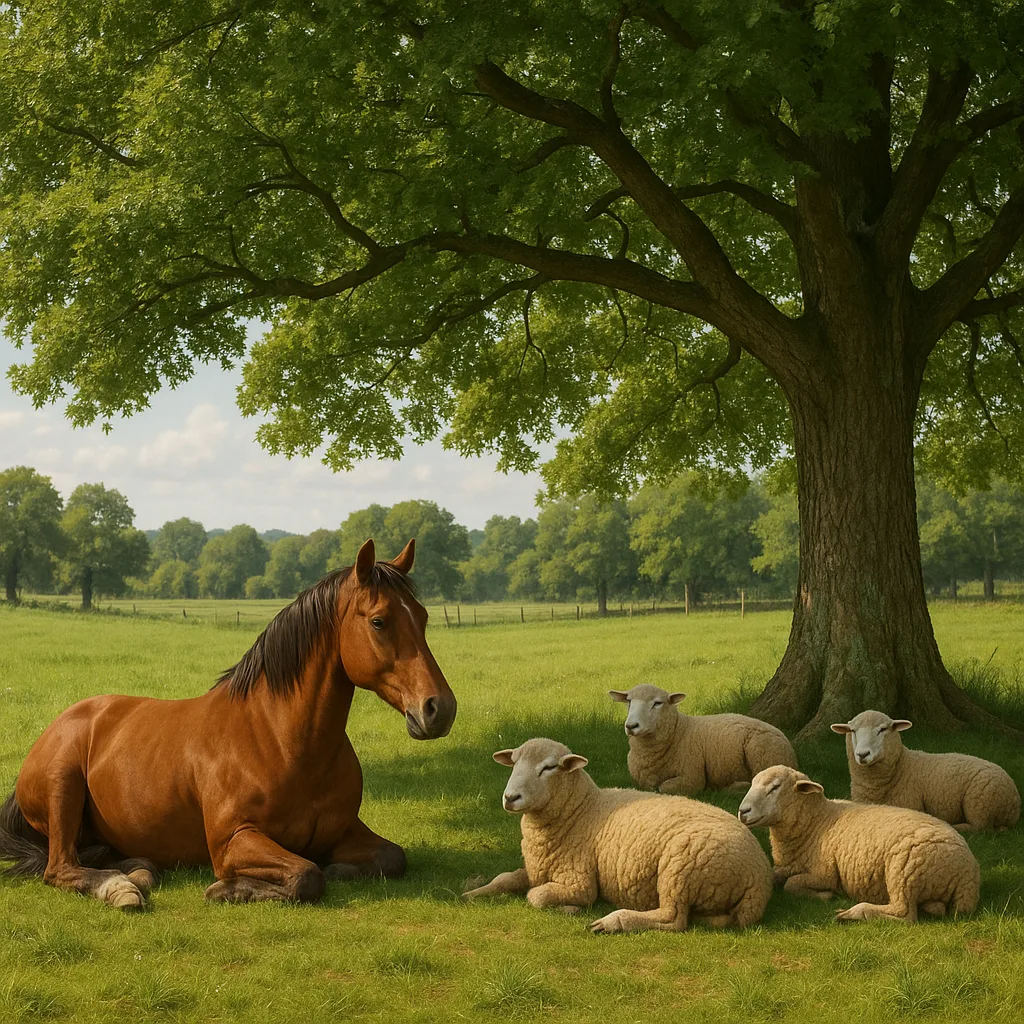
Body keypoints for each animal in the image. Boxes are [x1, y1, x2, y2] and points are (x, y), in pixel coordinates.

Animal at [0, 538, 456, 909]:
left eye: (423, 617)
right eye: (379, 621)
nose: (440, 708)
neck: (279, 739)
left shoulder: (344, 828)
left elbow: (392, 857)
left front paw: (340, 868)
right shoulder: (233, 840)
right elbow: (306, 875)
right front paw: (229, 889)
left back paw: (138, 873)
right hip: (63, 788)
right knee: (61, 868)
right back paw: (121, 890)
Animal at [462, 737, 773, 933]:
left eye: (549, 767)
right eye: (513, 762)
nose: (510, 798)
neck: (582, 809)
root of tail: (758, 877)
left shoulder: (578, 881)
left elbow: (535, 896)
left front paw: (570, 909)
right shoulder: (535, 867)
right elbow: (505, 878)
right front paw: (473, 892)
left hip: (680, 868)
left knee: (673, 919)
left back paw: (611, 922)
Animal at [609, 683, 797, 795]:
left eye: (657, 703)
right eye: (628, 701)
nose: (631, 726)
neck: (678, 731)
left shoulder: (692, 777)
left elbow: (663, 788)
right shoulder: (643, 781)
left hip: (763, 754)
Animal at [738, 765, 980, 923]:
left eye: (775, 787)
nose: (743, 811)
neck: (817, 821)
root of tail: (968, 875)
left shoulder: (825, 873)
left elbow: (791, 885)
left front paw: (825, 896)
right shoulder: (787, 866)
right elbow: (775, 876)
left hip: (904, 871)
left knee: (905, 914)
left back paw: (853, 913)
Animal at [831, 709, 1020, 832]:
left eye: (883, 729)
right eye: (853, 731)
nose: (862, 754)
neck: (902, 766)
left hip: (980, 803)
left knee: (982, 827)